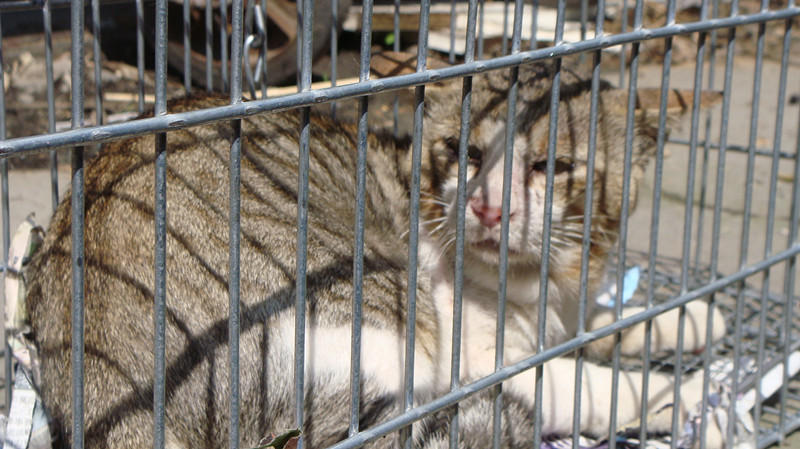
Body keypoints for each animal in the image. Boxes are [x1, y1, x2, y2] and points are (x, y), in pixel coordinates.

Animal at [24, 60, 726, 449]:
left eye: (552, 167)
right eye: (464, 153)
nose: (489, 208)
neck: (540, 285)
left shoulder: (566, 311)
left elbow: (610, 322)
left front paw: (692, 318)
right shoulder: (485, 364)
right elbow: (588, 385)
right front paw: (689, 399)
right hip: (388, 326)